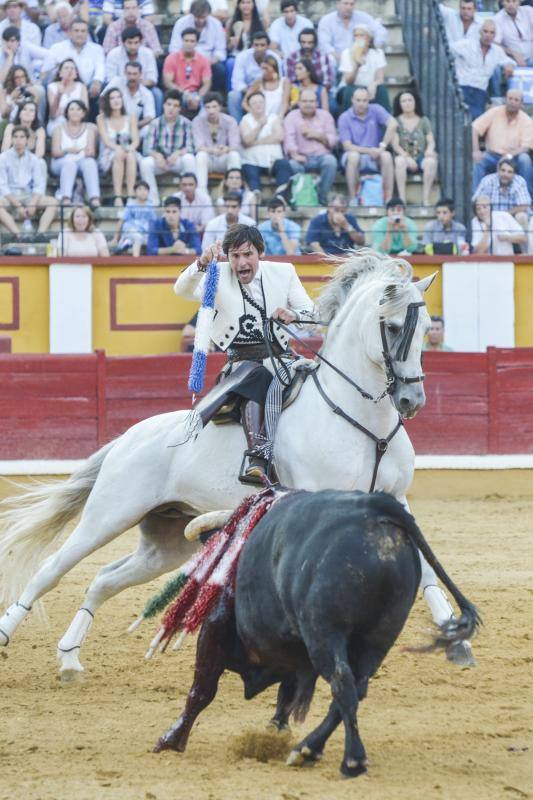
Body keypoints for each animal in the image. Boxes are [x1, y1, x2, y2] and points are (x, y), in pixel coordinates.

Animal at [0, 248, 464, 676]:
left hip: (167, 540)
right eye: (393, 326)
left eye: (425, 328)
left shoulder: (395, 498)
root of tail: (127, 439)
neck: (359, 417)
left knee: (104, 579)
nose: (412, 400)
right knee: (51, 569)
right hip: (108, 514)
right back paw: (9, 632)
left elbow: (424, 565)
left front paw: (454, 636)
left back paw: (69, 658)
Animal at [153, 490, 478, 780]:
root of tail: (375, 509)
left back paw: (351, 760)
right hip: (379, 637)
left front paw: (171, 740)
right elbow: (286, 695)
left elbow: (202, 690)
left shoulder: (215, 628)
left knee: (342, 681)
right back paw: (308, 749)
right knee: (355, 687)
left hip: (324, 632)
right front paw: (276, 730)